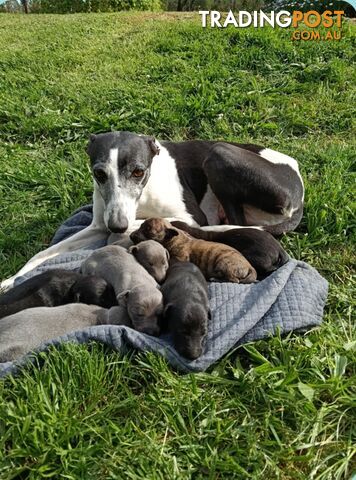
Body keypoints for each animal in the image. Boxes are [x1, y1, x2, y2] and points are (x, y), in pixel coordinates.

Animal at [129, 218, 258, 284]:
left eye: (149, 232)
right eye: (140, 226)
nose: (130, 236)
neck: (172, 238)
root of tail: (250, 267)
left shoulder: (180, 257)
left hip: (224, 263)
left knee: (234, 279)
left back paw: (216, 278)